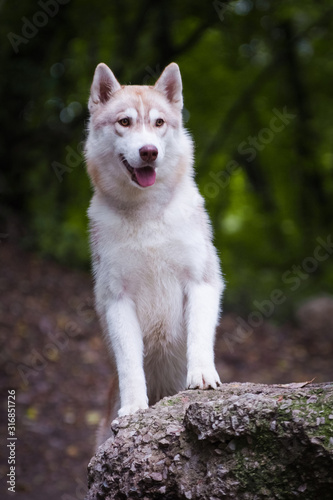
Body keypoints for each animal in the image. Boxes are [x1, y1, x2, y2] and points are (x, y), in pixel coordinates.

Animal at [84, 60, 223, 444]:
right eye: (124, 121)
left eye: (159, 122)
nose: (149, 151)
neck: (146, 215)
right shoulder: (118, 299)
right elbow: (131, 363)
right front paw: (134, 407)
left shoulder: (201, 281)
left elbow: (199, 339)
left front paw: (201, 375)